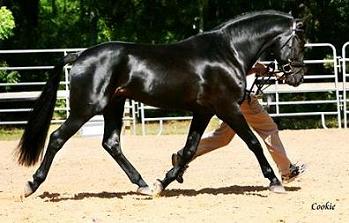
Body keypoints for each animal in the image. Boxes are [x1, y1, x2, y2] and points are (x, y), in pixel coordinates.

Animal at [17, 10, 304, 197]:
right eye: (300, 43)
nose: (297, 77)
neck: (227, 52)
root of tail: (80, 55)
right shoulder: (227, 108)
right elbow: (254, 143)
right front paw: (275, 181)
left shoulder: (203, 112)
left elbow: (189, 149)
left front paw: (162, 183)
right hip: (87, 108)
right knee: (57, 138)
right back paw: (31, 185)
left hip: (114, 105)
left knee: (111, 143)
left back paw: (142, 184)